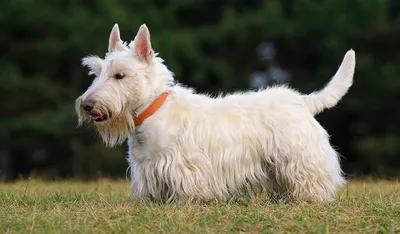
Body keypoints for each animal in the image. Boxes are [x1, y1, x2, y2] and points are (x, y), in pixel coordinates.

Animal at [76, 23, 356, 203]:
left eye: (120, 75)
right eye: (96, 73)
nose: (87, 105)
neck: (152, 110)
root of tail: (302, 101)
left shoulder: (184, 167)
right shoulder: (146, 169)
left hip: (299, 157)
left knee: (311, 178)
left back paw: (312, 199)